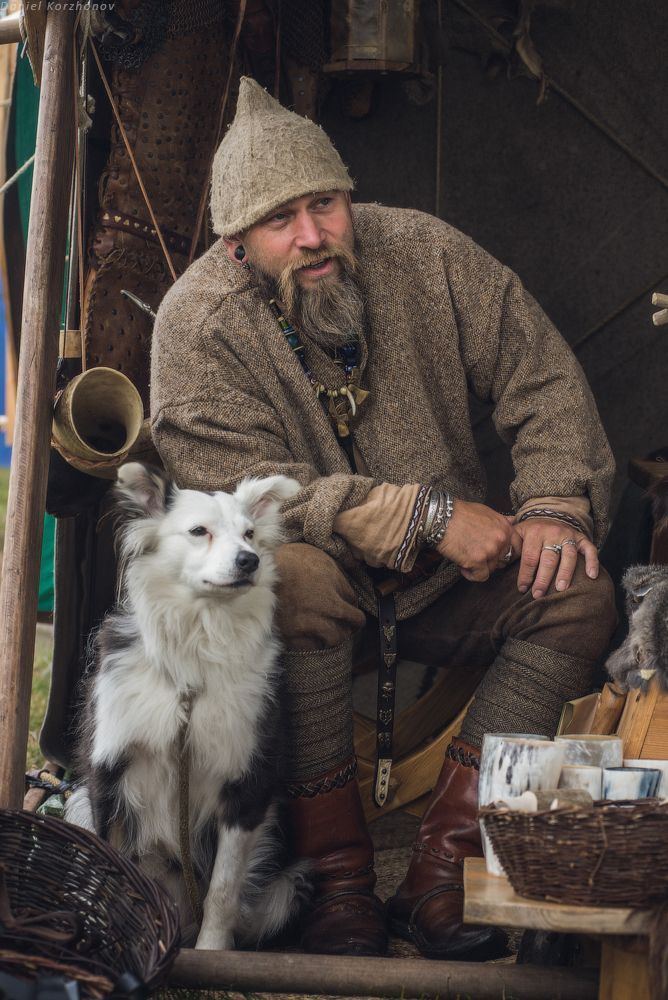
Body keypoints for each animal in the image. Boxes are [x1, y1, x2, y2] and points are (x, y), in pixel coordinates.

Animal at [67, 460, 308, 944]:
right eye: (199, 531)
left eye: (250, 534)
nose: (249, 561)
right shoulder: (106, 774)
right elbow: (108, 872)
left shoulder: (247, 786)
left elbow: (222, 890)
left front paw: (212, 949)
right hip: (77, 803)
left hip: (285, 883)